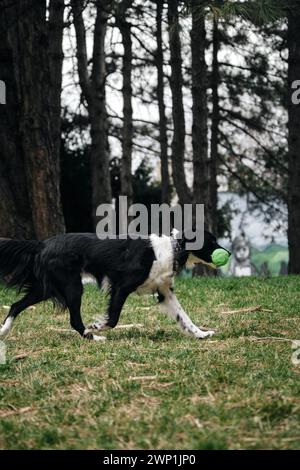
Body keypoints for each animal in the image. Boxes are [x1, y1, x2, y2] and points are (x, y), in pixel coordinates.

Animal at [0, 231, 230, 342]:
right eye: (211, 241)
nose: (227, 253)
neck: (172, 249)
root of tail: (42, 244)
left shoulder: (165, 292)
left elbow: (184, 317)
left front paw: (201, 334)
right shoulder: (122, 286)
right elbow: (113, 319)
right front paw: (97, 326)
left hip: (47, 288)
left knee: (15, 305)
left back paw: (3, 332)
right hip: (72, 286)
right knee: (75, 320)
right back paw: (94, 336)